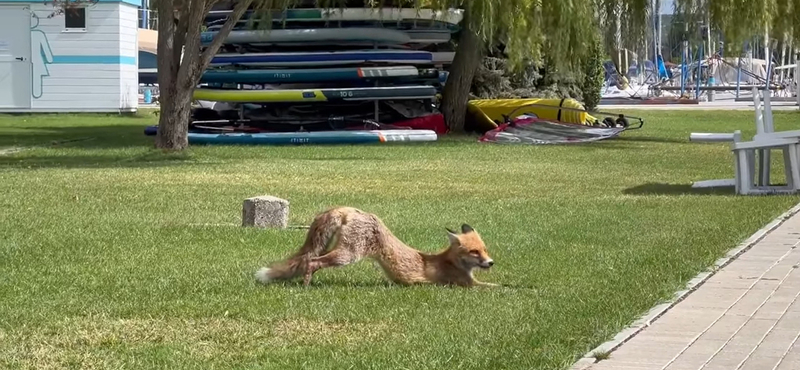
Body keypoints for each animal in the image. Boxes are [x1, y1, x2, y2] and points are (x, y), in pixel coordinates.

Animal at [256, 207, 496, 288]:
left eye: (485, 249)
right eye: (474, 252)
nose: (491, 262)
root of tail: (348, 209)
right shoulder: (466, 285)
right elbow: (498, 287)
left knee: (309, 261)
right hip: (348, 255)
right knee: (312, 261)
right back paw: (306, 286)